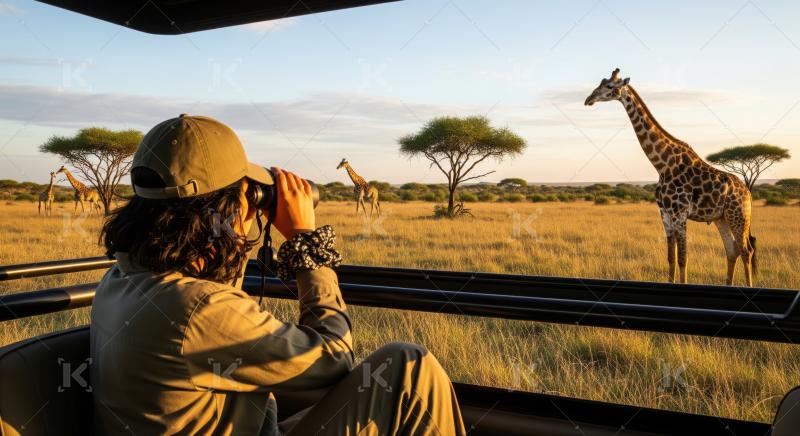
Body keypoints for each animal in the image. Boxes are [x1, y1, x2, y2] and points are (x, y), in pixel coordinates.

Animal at [584, 68, 756, 286]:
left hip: (739, 215)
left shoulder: (680, 213)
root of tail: (748, 193)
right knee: (731, 250)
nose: (588, 99)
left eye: (609, 86)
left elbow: (683, 258)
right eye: (601, 82)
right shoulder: (665, 214)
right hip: (721, 218)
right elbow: (671, 258)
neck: (663, 165)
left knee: (746, 250)